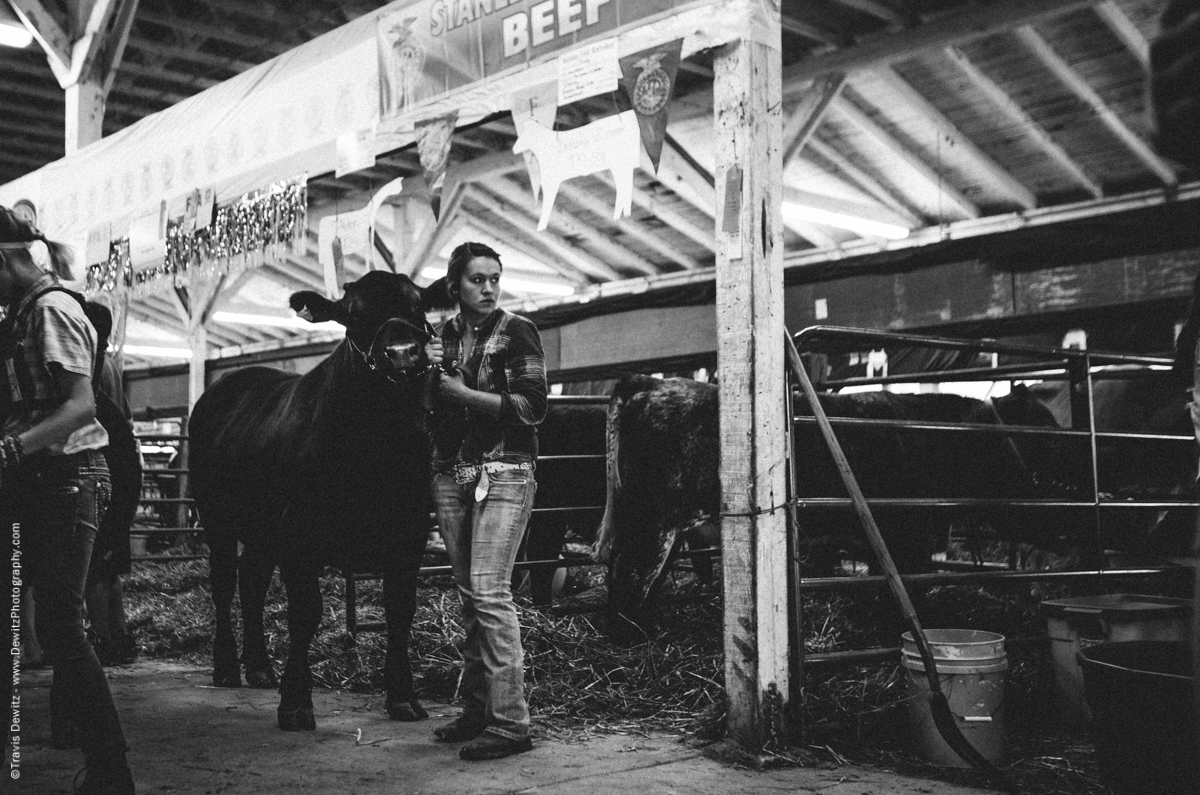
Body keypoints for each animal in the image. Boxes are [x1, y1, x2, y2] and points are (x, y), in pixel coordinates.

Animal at [189, 271, 451, 730]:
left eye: (417, 304)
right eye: (352, 314)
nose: (402, 352)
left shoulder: (410, 532)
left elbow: (400, 610)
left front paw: (403, 697)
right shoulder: (299, 533)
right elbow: (305, 613)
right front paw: (295, 701)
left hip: (262, 529)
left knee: (252, 581)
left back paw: (259, 667)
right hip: (216, 517)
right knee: (223, 585)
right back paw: (226, 667)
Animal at [595, 377, 1065, 638]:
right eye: (1040, 424)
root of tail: (649, 382)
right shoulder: (907, 538)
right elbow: (908, 590)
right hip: (655, 521)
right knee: (629, 574)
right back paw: (632, 636)